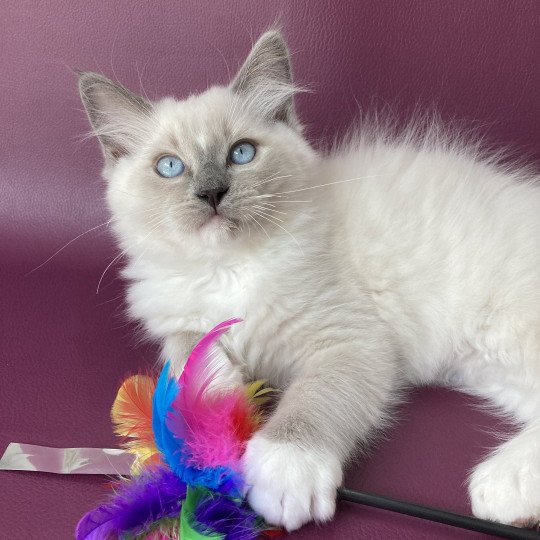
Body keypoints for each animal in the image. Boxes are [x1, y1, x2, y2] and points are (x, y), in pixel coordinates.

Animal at [79, 27, 540, 528]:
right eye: (170, 167)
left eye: (241, 153)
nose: (211, 192)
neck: (231, 266)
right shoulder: (178, 318)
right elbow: (188, 350)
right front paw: (216, 405)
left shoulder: (350, 340)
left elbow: (312, 402)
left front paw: (283, 472)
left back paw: (499, 485)